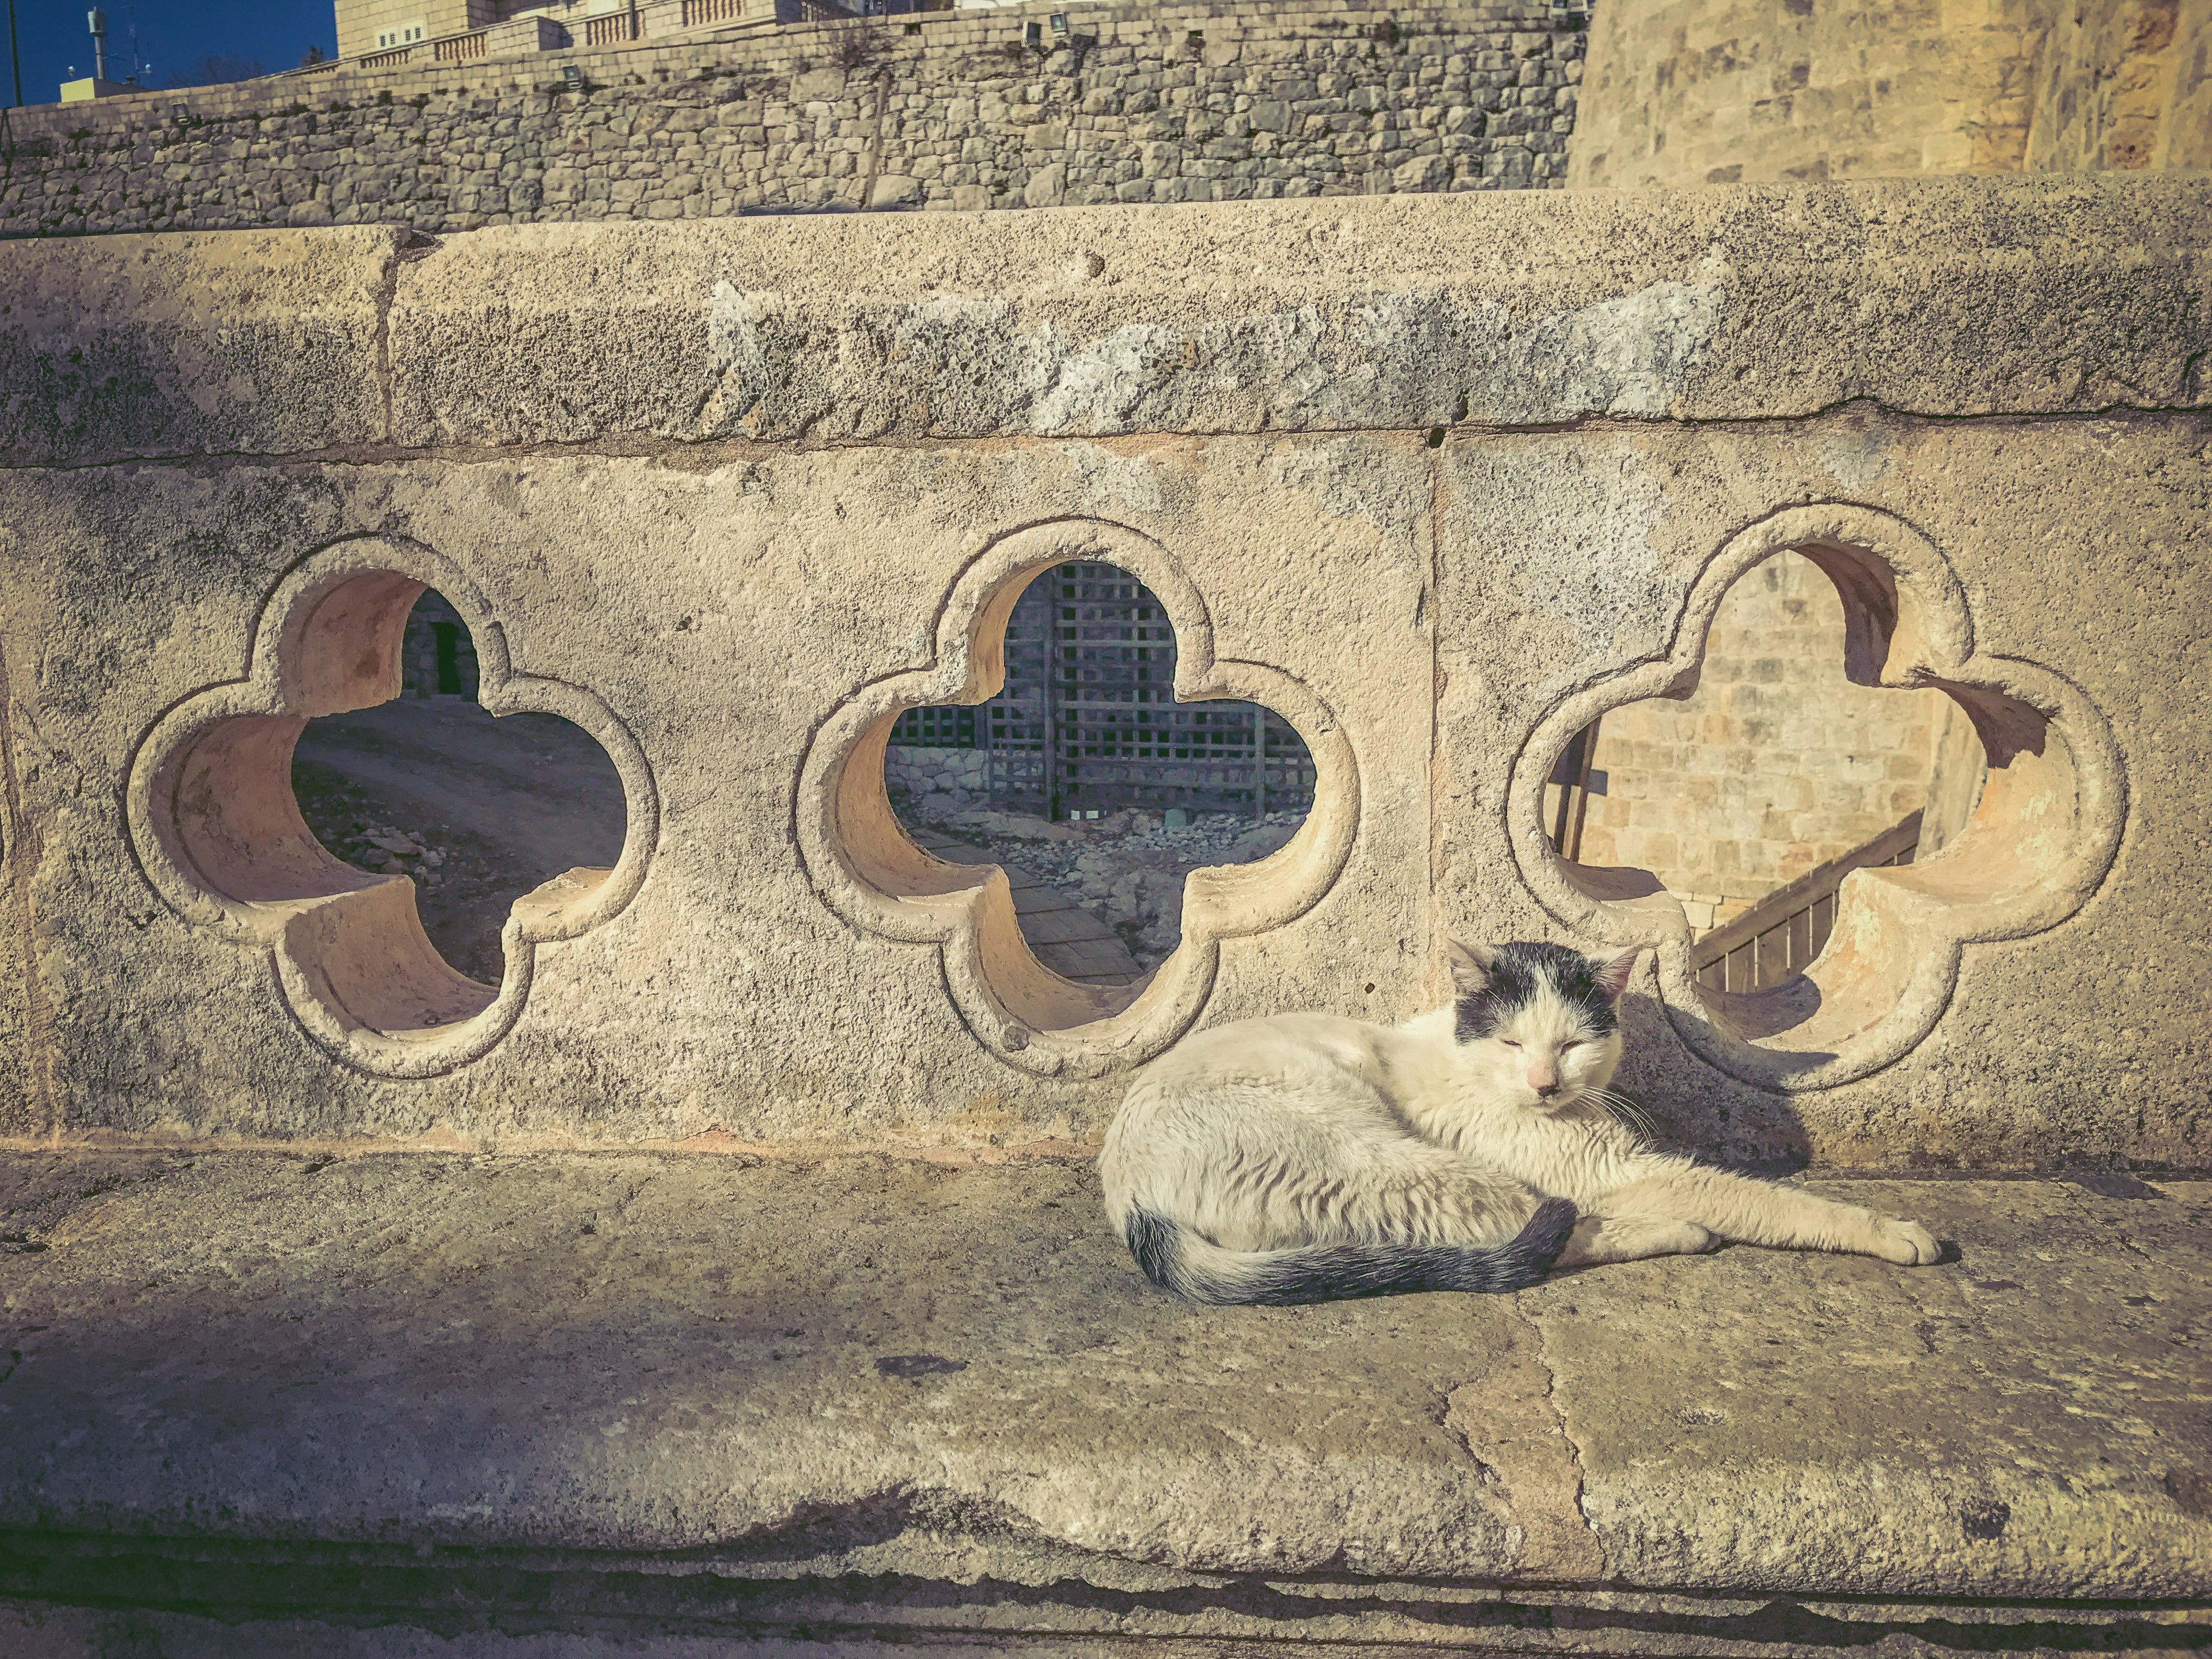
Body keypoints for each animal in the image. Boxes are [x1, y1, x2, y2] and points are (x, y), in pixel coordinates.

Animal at [1101, 942, 1937, 1309]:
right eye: (1511, 1042)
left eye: (1570, 1045)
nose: (1543, 1083)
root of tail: (1134, 1200)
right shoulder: (1616, 1172)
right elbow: (1764, 1198)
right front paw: (1892, 1232)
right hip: (1399, 1165)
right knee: (1540, 1232)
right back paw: (1678, 1231)